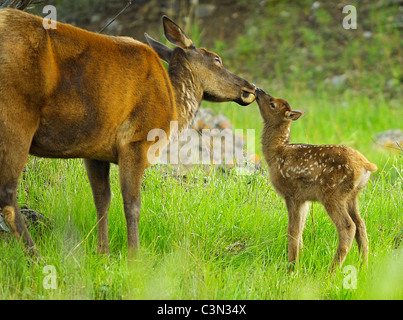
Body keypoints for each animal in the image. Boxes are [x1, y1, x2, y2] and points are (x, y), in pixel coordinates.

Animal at [0, 9, 258, 258]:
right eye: (217, 59)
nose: (251, 87)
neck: (174, 107)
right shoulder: (137, 141)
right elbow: (132, 204)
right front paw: (134, 257)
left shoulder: (94, 150)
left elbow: (102, 200)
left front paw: (102, 254)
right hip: (16, 116)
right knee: (8, 195)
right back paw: (36, 258)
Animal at [256, 88, 378, 272]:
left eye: (272, 104)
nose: (258, 90)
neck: (276, 153)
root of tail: (366, 164)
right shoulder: (304, 199)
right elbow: (300, 231)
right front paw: (298, 261)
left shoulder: (291, 194)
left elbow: (292, 231)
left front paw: (291, 268)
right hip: (352, 196)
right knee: (361, 225)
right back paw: (364, 266)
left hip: (332, 193)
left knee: (348, 226)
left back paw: (332, 271)